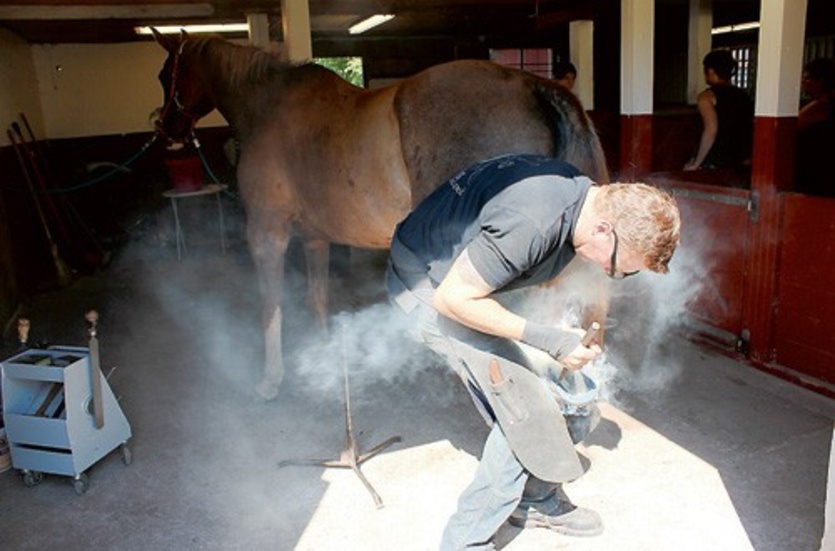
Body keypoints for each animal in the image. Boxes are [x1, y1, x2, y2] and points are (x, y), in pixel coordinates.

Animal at [153, 31, 608, 402]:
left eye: (164, 74)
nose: (166, 130)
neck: (270, 108)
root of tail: (536, 85)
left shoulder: (267, 233)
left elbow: (271, 304)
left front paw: (270, 380)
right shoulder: (314, 238)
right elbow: (318, 298)